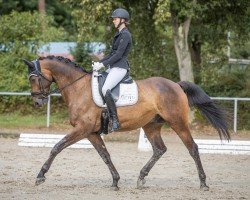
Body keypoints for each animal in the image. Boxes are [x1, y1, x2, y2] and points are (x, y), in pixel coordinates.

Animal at [22, 55, 229, 191]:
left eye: (34, 78)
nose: (37, 102)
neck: (78, 88)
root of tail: (176, 85)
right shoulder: (91, 133)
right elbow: (105, 155)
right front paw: (115, 181)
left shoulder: (82, 129)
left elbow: (57, 147)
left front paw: (40, 176)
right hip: (151, 125)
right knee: (159, 149)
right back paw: (141, 178)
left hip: (178, 122)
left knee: (192, 148)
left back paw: (203, 183)